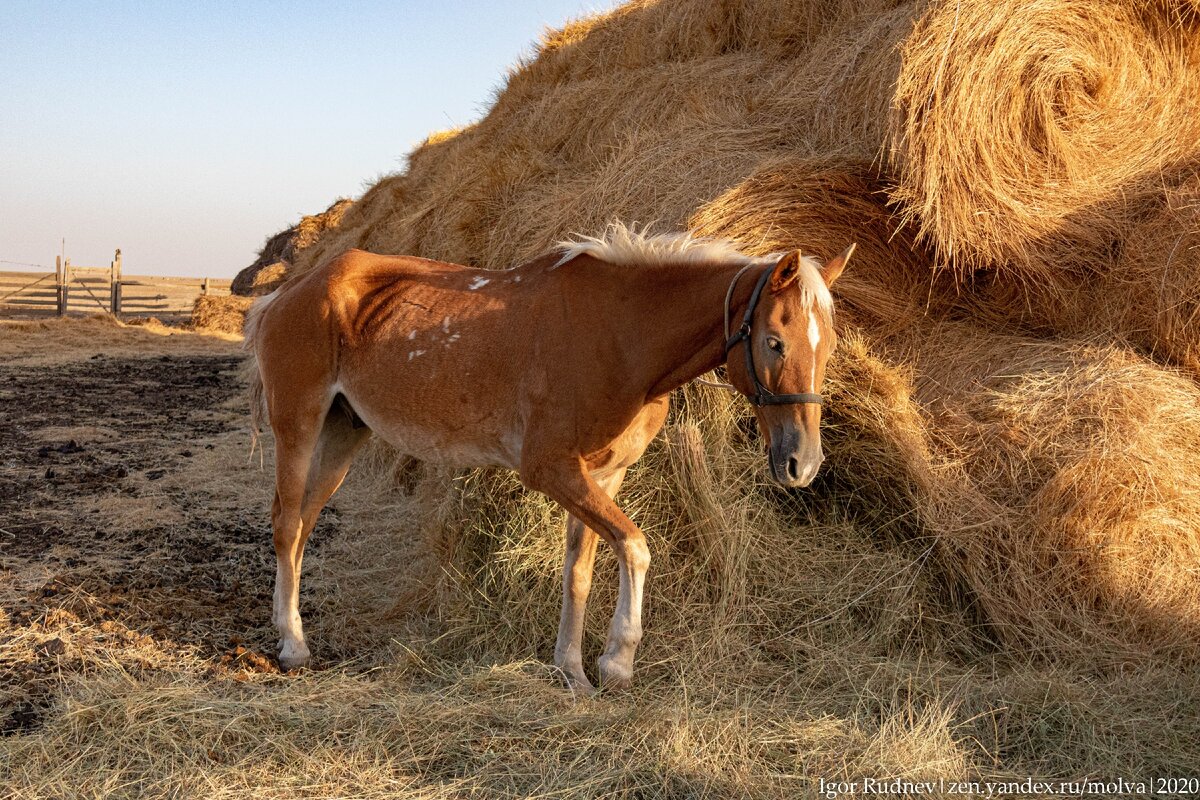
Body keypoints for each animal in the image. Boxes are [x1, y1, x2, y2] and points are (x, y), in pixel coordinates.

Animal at [243, 225, 849, 695]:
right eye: (774, 342)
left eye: (829, 347)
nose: (802, 463)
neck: (619, 337)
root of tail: (288, 292)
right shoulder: (551, 470)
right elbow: (636, 547)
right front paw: (616, 661)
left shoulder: (604, 475)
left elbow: (580, 571)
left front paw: (573, 671)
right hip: (299, 428)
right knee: (285, 523)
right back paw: (293, 645)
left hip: (343, 434)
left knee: (302, 524)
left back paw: (288, 625)